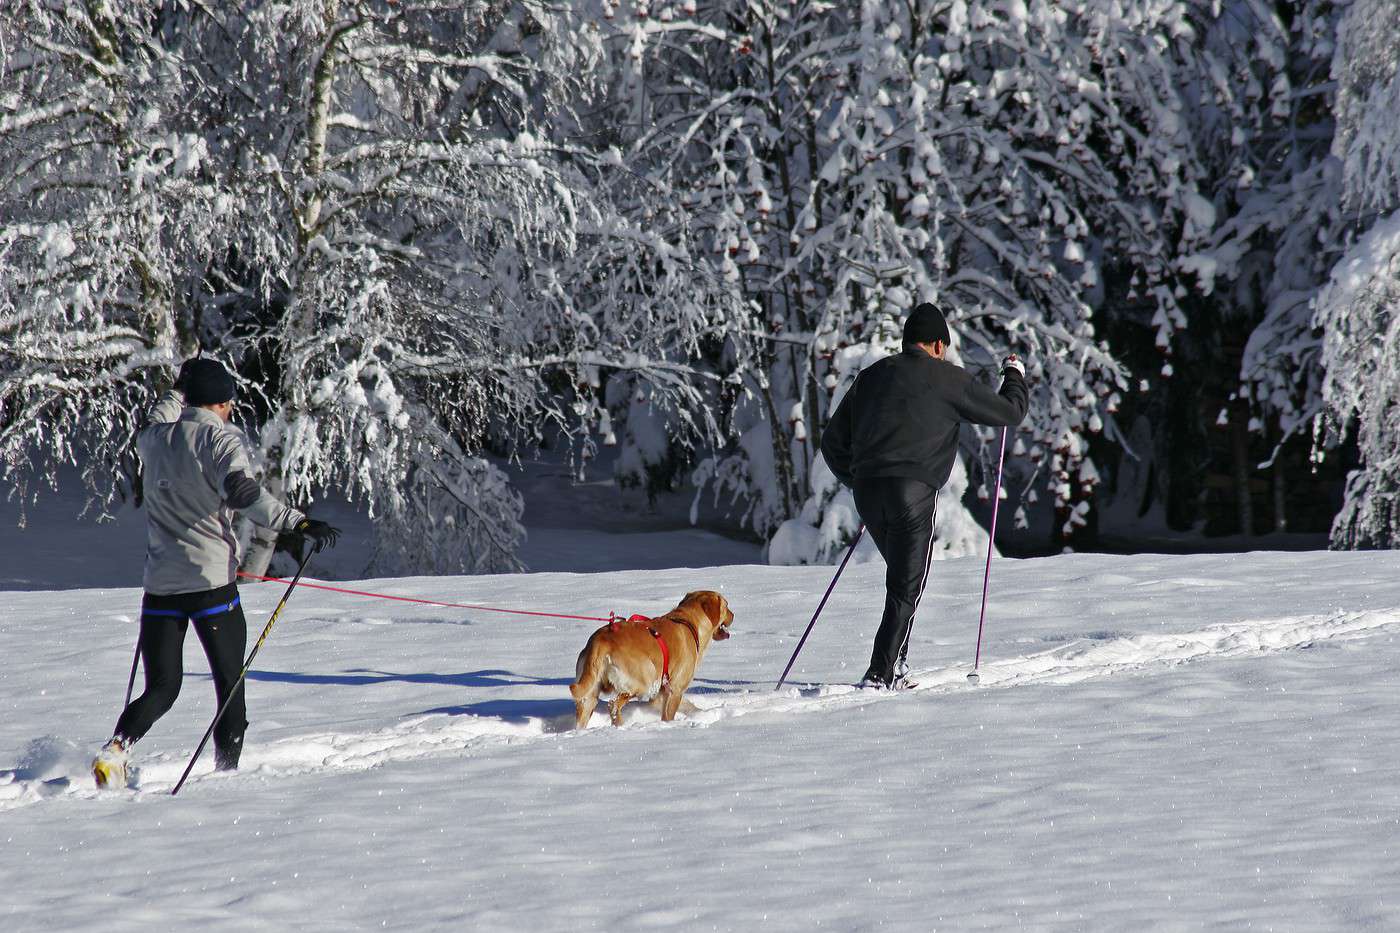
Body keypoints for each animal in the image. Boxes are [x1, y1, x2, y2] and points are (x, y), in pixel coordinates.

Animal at [571, 588, 739, 728]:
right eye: (726, 605)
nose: (733, 614)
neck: (689, 622)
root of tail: (601, 640)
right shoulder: (675, 690)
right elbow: (669, 715)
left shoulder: (660, 694)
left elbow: (689, 706)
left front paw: (702, 713)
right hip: (644, 679)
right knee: (613, 704)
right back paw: (619, 724)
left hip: (590, 693)